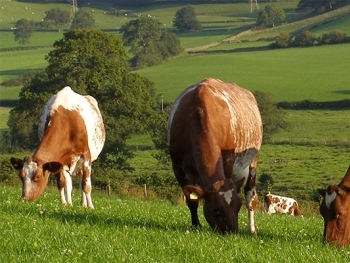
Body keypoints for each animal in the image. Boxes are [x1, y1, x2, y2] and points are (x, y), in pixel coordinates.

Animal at [167, 78, 262, 235]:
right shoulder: (177, 166)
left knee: (250, 197)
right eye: (217, 210)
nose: (232, 232)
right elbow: (191, 200)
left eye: (238, 207)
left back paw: (252, 228)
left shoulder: (228, 159)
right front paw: (196, 226)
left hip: (253, 160)